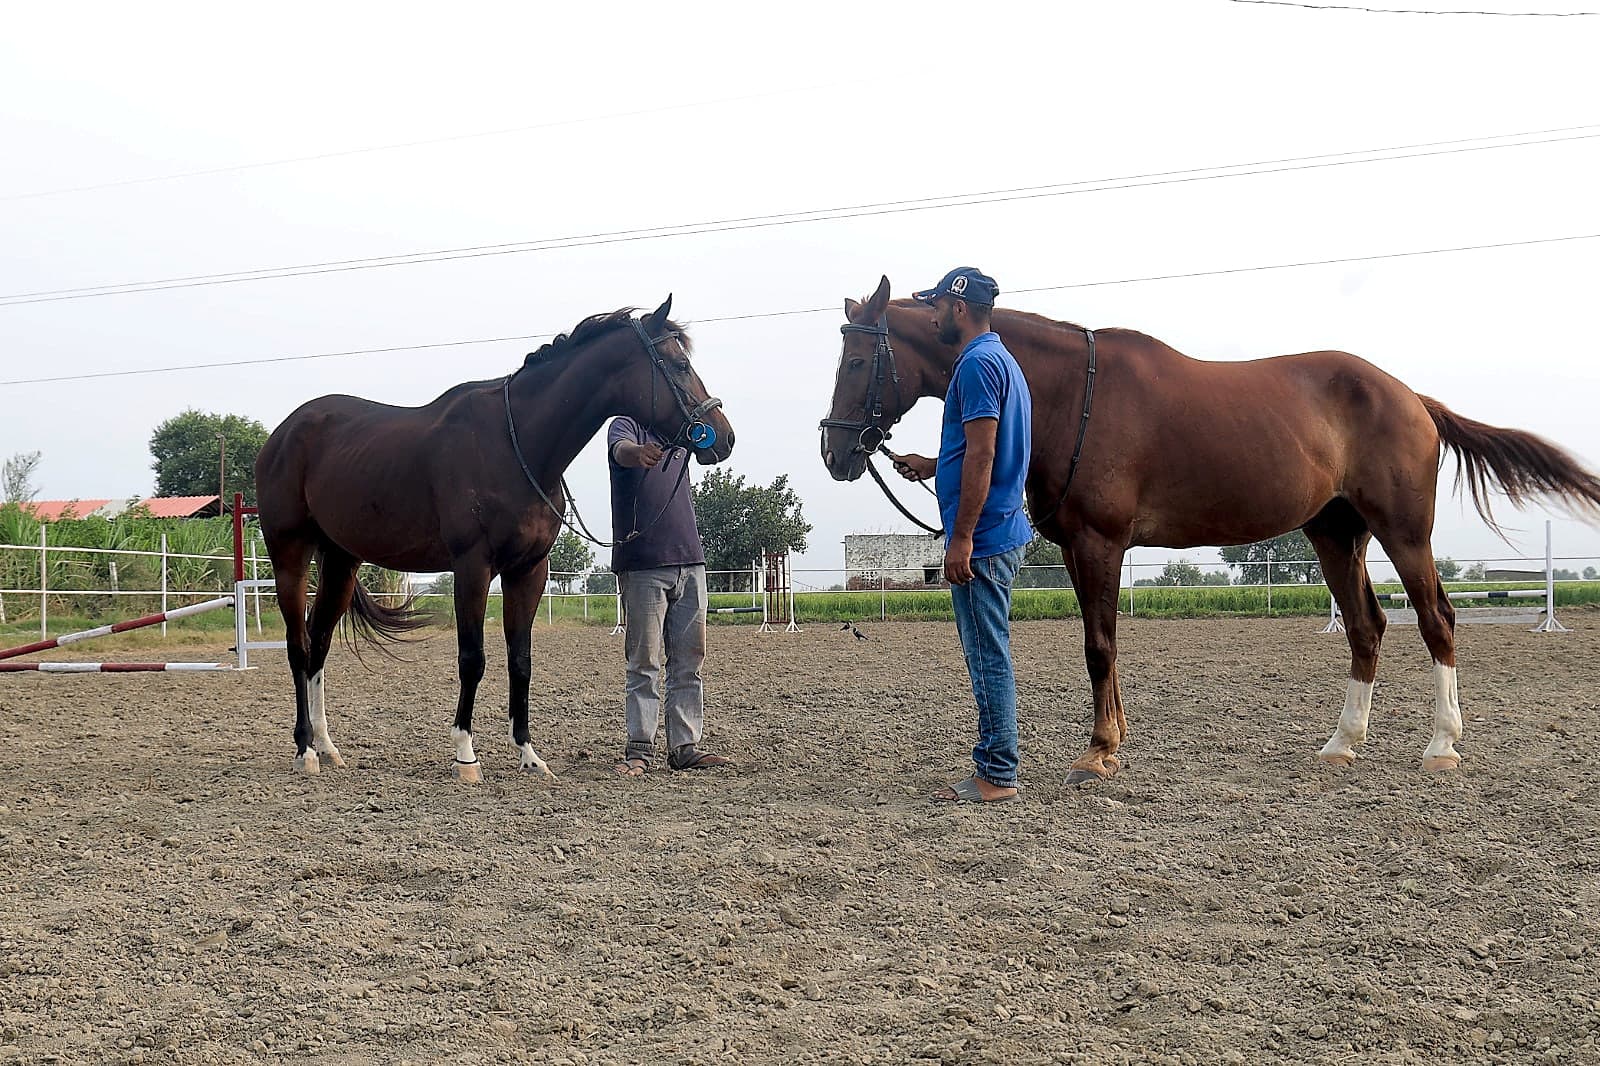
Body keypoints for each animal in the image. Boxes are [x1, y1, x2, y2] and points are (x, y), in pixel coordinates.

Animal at [255, 297, 734, 780]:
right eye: (679, 364)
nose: (724, 437)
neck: (515, 444)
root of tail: (283, 434)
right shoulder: (473, 567)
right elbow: (473, 659)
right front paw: (465, 756)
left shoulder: (528, 571)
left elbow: (520, 661)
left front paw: (529, 754)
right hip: (290, 557)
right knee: (298, 647)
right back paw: (305, 750)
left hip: (341, 562)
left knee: (319, 644)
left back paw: (327, 746)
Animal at [821, 276, 1600, 782]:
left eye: (857, 359)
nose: (835, 451)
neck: (1072, 393)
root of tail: (1410, 397)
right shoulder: (1079, 549)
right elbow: (1105, 646)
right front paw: (1113, 737)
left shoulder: (1099, 544)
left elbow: (1099, 647)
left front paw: (1098, 751)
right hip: (1334, 534)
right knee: (1366, 628)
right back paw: (1342, 742)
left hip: (1404, 533)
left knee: (1436, 620)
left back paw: (1441, 744)